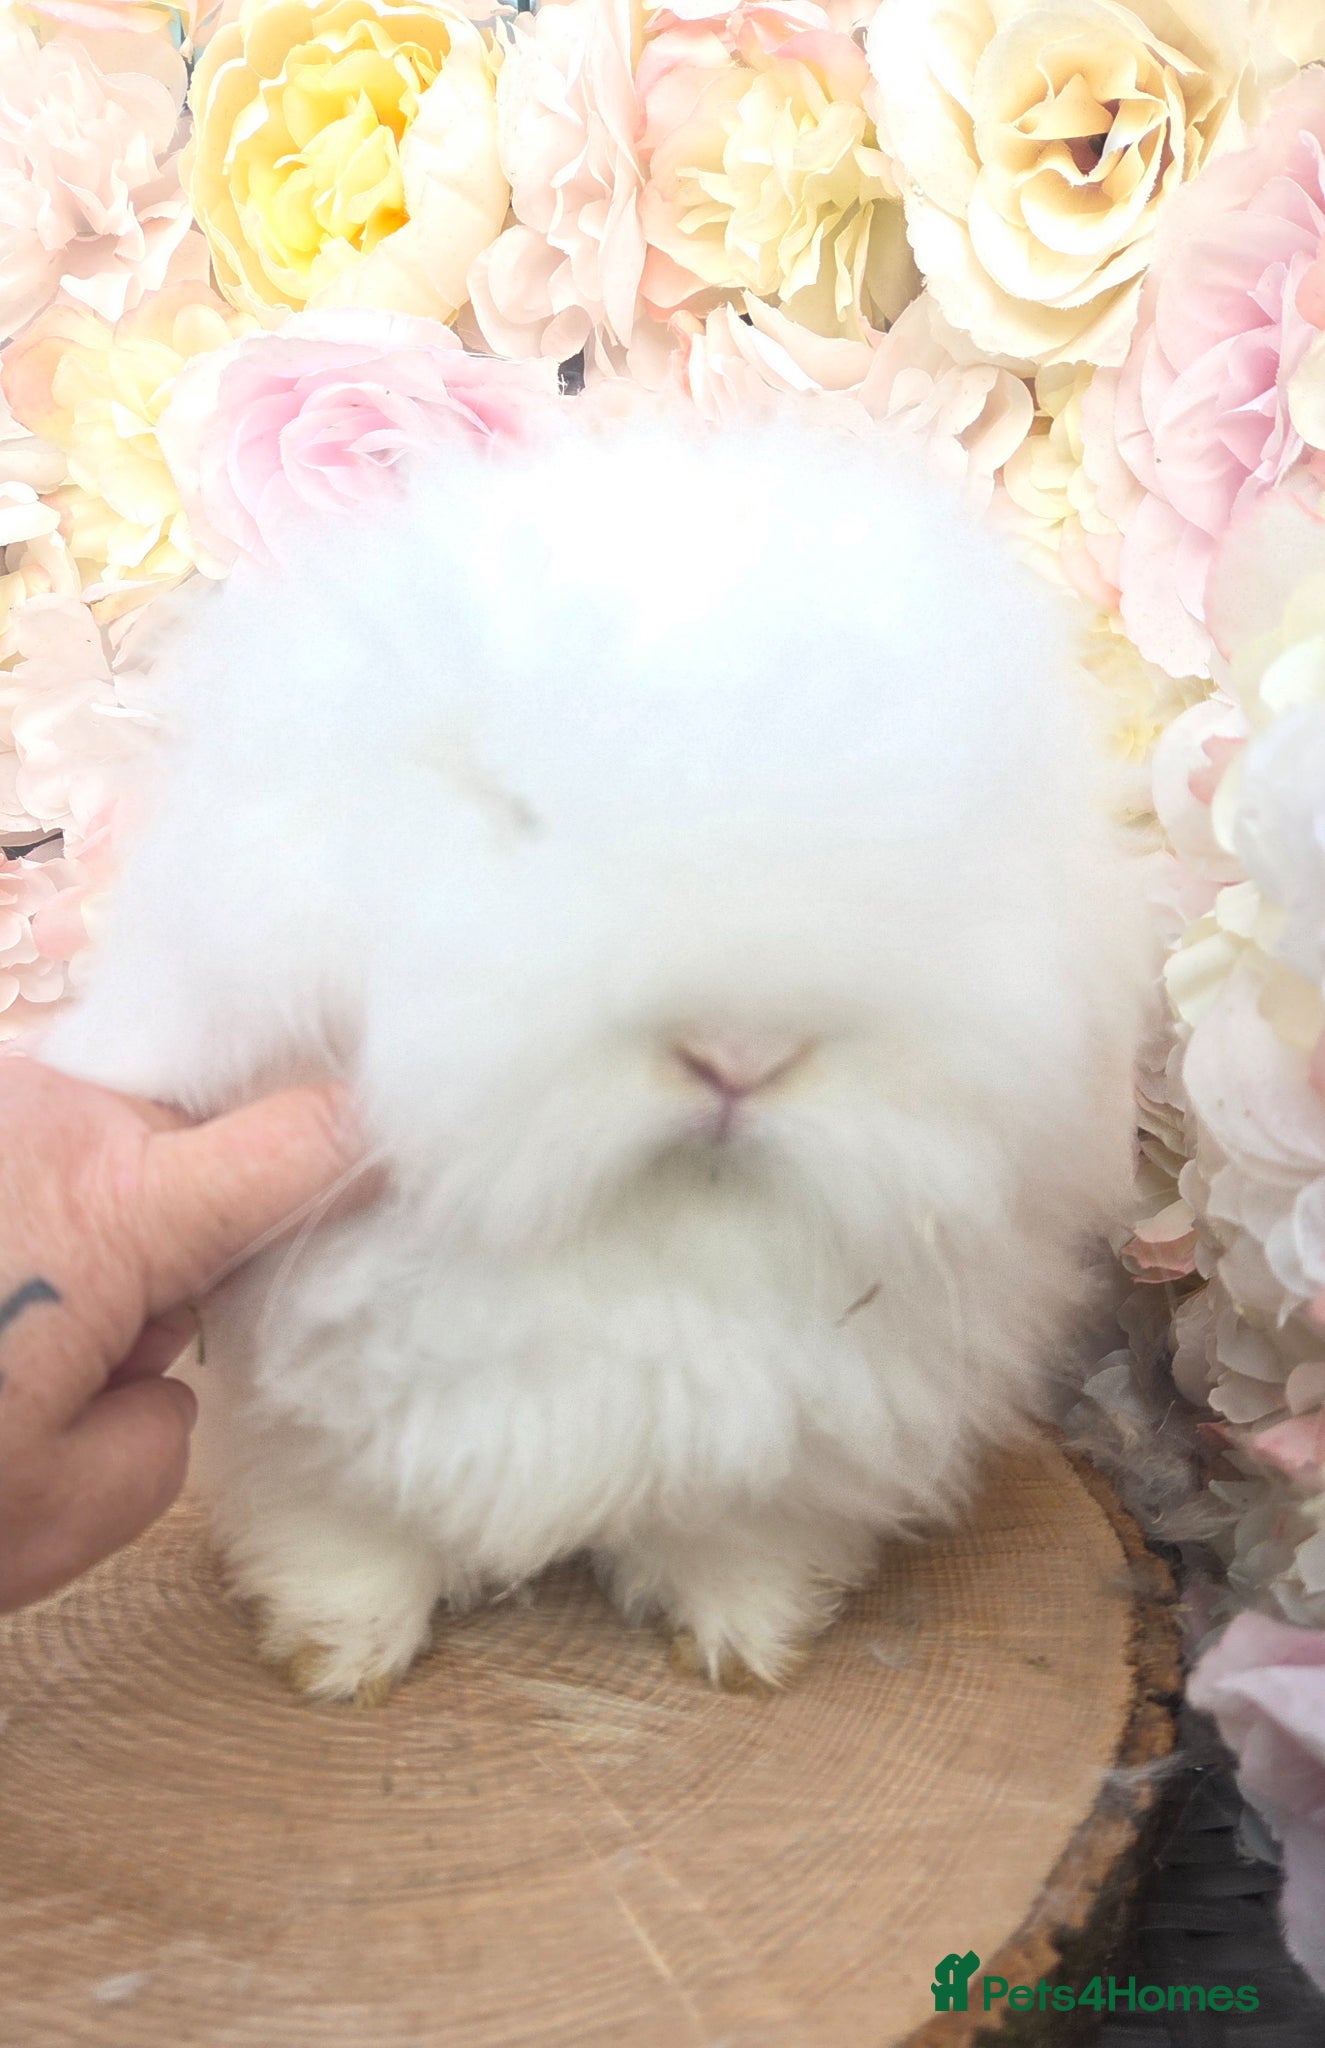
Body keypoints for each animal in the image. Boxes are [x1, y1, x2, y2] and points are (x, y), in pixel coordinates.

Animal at [41, 414, 1151, 1703]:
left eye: (925, 843)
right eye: (515, 813)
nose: (736, 1056)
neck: (637, 1237)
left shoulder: (801, 1423)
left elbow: (738, 1535)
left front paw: (746, 1644)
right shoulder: (308, 1414)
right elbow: (346, 1527)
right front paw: (338, 1655)